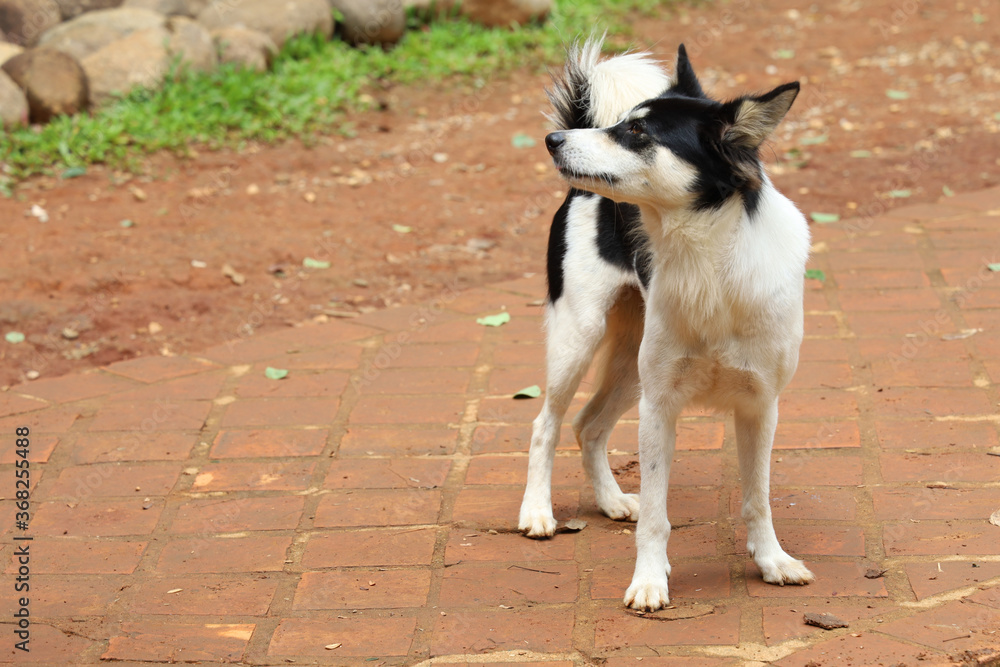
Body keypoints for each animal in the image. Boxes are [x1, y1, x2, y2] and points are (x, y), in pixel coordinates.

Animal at [518, 37, 814, 611]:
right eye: (624, 123)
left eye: (638, 133)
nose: (551, 140)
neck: (709, 265)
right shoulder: (659, 408)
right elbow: (657, 517)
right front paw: (650, 582)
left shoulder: (760, 407)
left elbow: (758, 499)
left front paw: (772, 561)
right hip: (578, 340)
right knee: (547, 424)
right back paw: (537, 512)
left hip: (628, 366)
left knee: (588, 425)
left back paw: (611, 501)